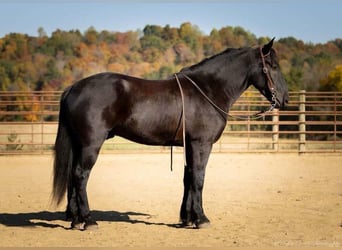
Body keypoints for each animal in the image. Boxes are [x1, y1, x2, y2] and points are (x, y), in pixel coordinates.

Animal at [52, 39, 288, 230]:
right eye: (273, 66)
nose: (284, 99)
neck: (208, 89)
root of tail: (73, 87)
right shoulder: (202, 144)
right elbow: (199, 178)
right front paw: (201, 219)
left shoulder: (189, 145)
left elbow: (188, 178)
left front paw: (187, 218)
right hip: (91, 144)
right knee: (81, 175)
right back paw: (88, 220)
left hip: (79, 144)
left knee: (73, 177)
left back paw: (76, 220)